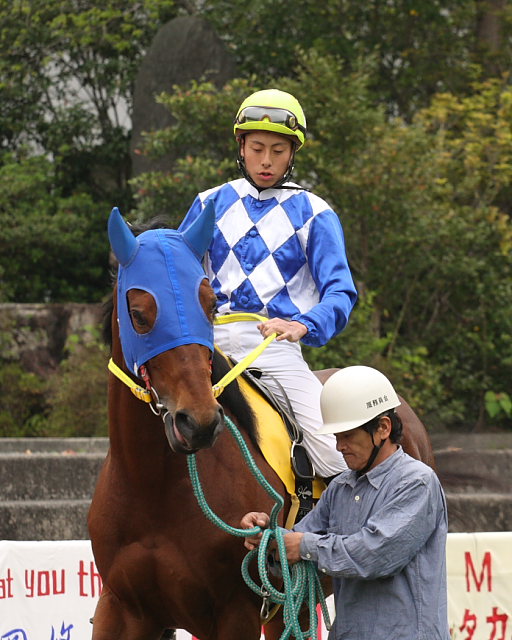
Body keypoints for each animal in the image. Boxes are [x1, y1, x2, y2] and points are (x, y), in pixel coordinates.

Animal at [88, 202, 436, 636]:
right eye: (138, 313)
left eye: (208, 305)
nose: (198, 422)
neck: (152, 488)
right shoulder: (123, 608)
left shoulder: (236, 612)